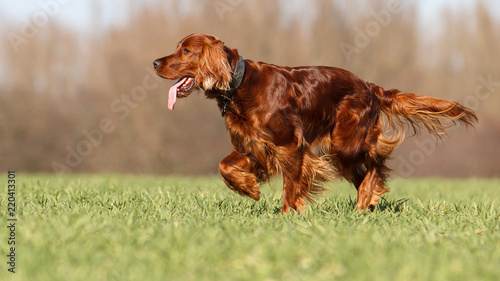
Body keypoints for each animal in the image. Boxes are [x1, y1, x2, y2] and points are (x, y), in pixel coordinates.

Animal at [154, 33, 478, 212]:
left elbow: (291, 185)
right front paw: (249, 189)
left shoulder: (290, 146)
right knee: (364, 174)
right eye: (177, 47)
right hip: (341, 152)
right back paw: (367, 202)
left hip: (345, 143)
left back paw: (364, 201)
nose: (155, 63)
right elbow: (224, 166)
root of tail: (370, 86)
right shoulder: (252, 146)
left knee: (377, 161)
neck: (241, 84)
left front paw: (287, 214)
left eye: (186, 50)